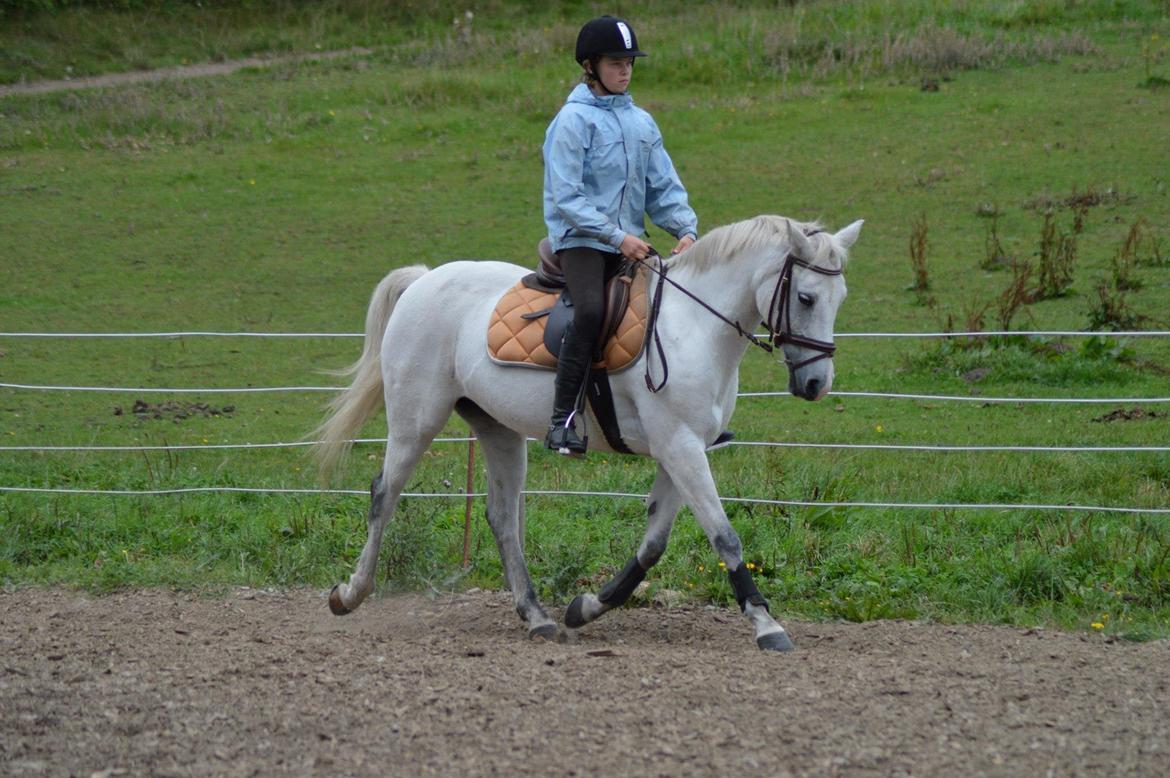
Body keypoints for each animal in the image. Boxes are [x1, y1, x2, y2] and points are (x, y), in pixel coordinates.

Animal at [312, 215, 862, 652]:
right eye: (806, 297)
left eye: (841, 298)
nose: (817, 384)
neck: (693, 326)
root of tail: (425, 281)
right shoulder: (681, 447)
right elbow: (724, 536)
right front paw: (767, 624)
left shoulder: (679, 450)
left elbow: (652, 546)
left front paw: (586, 607)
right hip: (415, 420)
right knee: (384, 495)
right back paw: (350, 594)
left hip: (498, 430)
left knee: (502, 517)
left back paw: (537, 617)